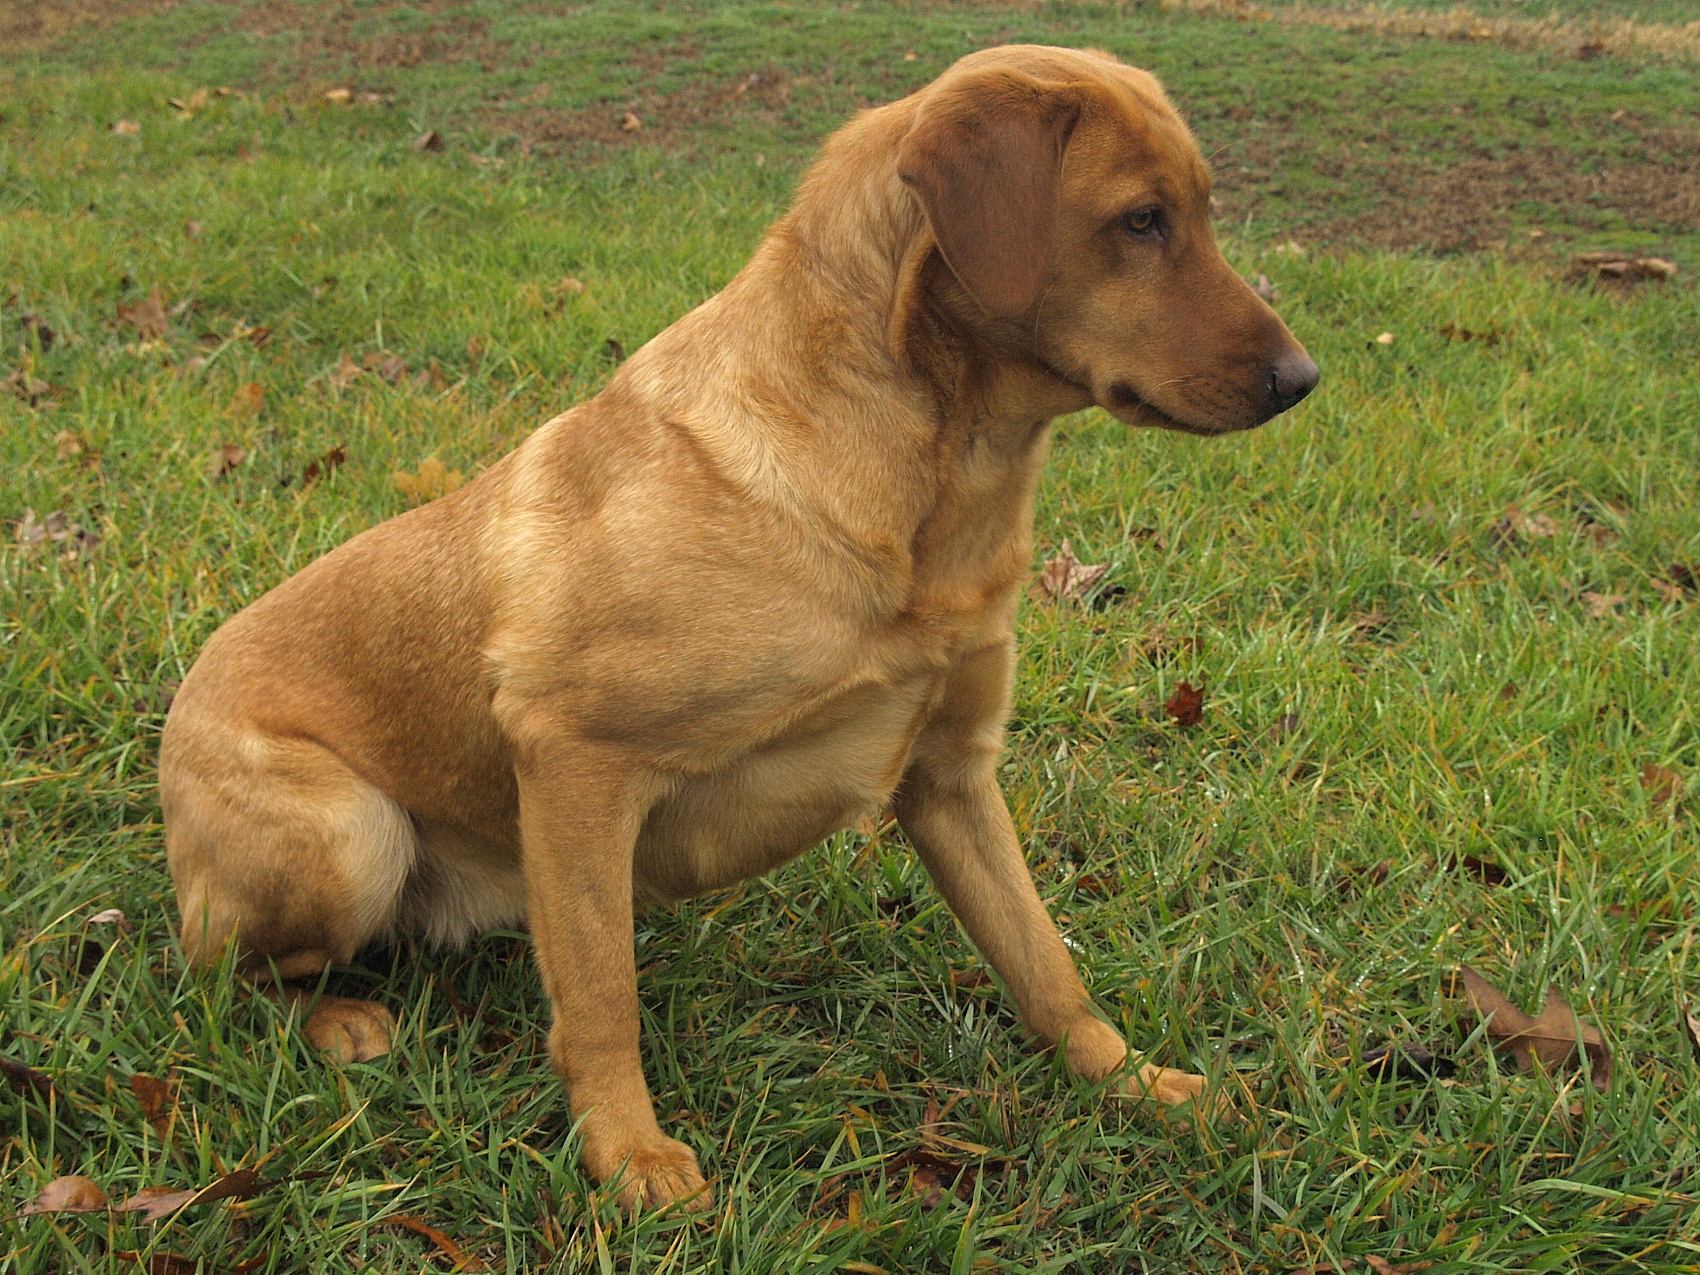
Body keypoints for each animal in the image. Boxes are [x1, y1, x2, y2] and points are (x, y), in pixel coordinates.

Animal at [159, 45, 1319, 1210]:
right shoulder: (571, 752)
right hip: (351, 837)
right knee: (211, 979)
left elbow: (1045, 962)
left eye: (1197, 212)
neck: (929, 485)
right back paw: (336, 1020)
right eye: (1140, 220)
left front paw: (1132, 1082)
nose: (1301, 380)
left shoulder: (950, 775)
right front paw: (628, 1155)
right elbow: (602, 1001)